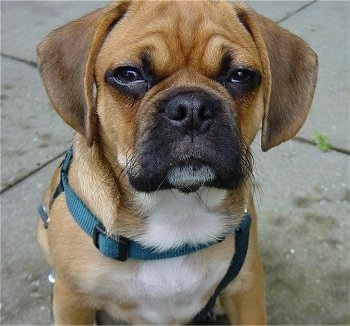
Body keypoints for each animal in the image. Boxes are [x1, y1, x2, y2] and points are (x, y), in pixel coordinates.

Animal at [35, 1, 318, 324]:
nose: (191, 108)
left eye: (241, 75)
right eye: (128, 74)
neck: (178, 208)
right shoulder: (71, 300)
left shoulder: (246, 289)